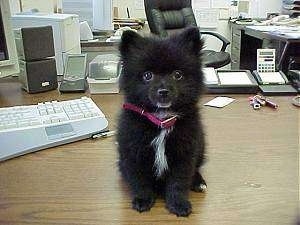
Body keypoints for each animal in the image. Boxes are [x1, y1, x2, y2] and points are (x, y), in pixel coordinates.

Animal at [117, 27, 206, 217]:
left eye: (177, 75)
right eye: (147, 75)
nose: (163, 91)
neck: (161, 120)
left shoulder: (184, 152)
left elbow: (178, 182)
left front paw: (178, 203)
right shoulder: (134, 152)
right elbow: (140, 180)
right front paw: (143, 199)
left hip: (201, 146)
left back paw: (198, 182)